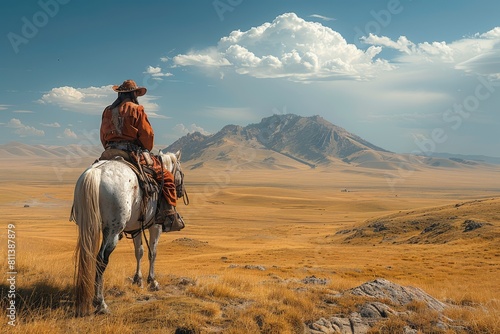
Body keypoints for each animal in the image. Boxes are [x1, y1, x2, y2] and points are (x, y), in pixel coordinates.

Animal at [71, 150, 185, 318]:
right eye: (181, 172)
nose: (181, 191)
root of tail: (95, 173)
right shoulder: (156, 225)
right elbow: (153, 252)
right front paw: (153, 281)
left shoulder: (136, 227)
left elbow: (139, 251)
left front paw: (138, 279)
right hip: (113, 231)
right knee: (101, 259)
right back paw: (101, 304)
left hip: (88, 227)